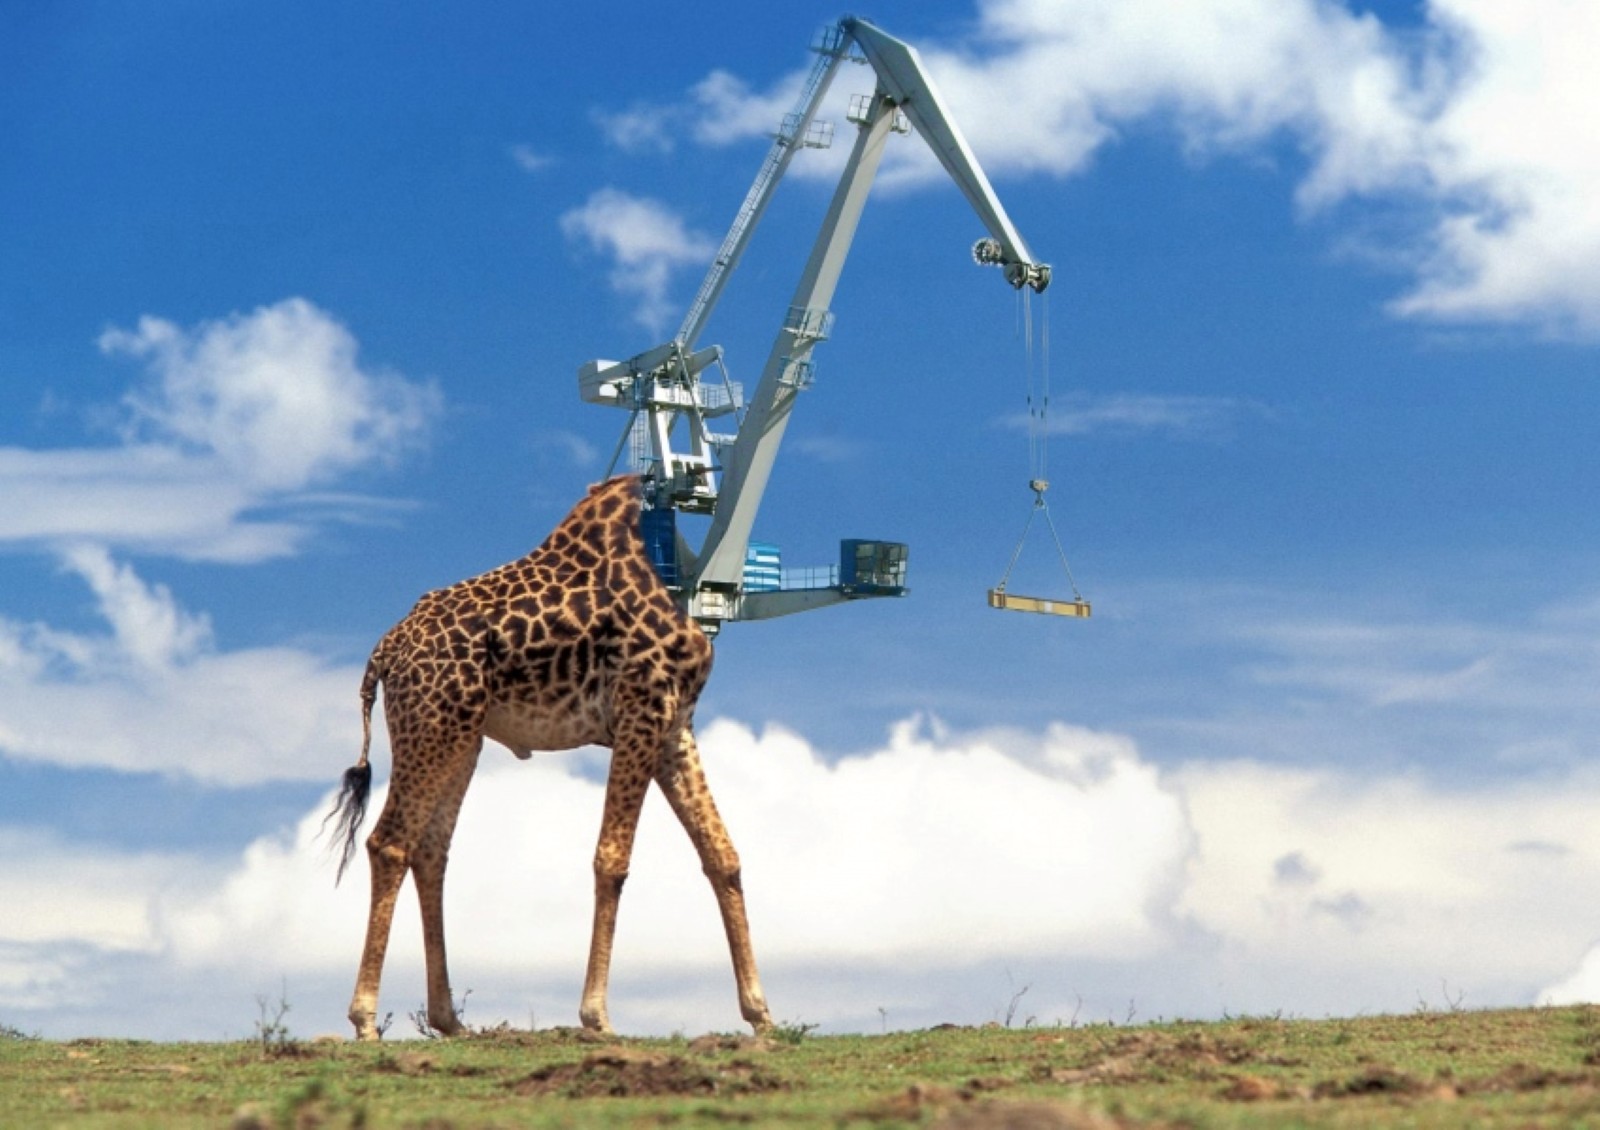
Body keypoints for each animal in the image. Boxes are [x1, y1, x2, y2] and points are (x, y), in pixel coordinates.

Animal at [324, 474, 773, 1039]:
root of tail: (384, 652)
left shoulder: (675, 729)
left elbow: (722, 856)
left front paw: (760, 1014)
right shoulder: (640, 711)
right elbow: (612, 859)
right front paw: (596, 1015)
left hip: (461, 736)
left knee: (430, 850)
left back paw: (450, 1020)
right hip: (432, 726)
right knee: (389, 843)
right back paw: (364, 1019)